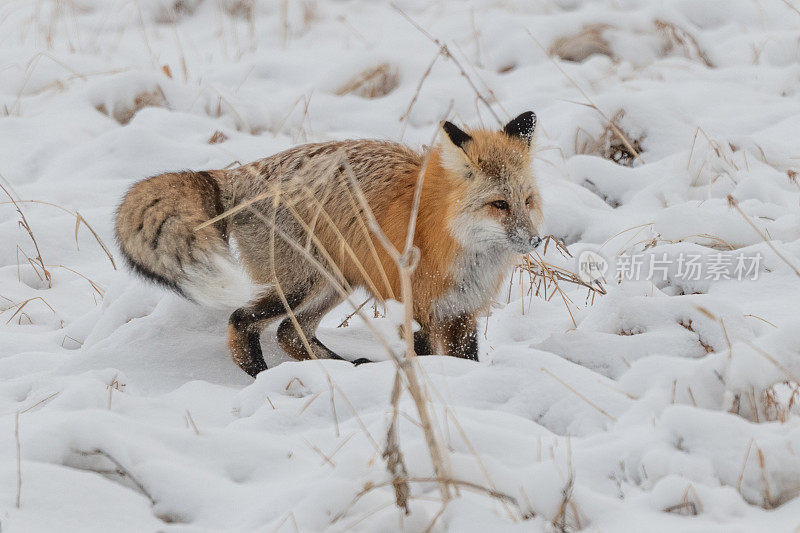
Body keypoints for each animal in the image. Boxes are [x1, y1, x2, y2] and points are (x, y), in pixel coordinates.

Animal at [115, 112, 544, 376]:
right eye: (499, 204)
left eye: (526, 200)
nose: (537, 241)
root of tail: (241, 174)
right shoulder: (418, 311)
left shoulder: (462, 313)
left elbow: (467, 361)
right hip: (301, 284)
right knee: (242, 320)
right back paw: (261, 377)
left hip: (337, 281)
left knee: (289, 333)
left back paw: (343, 369)